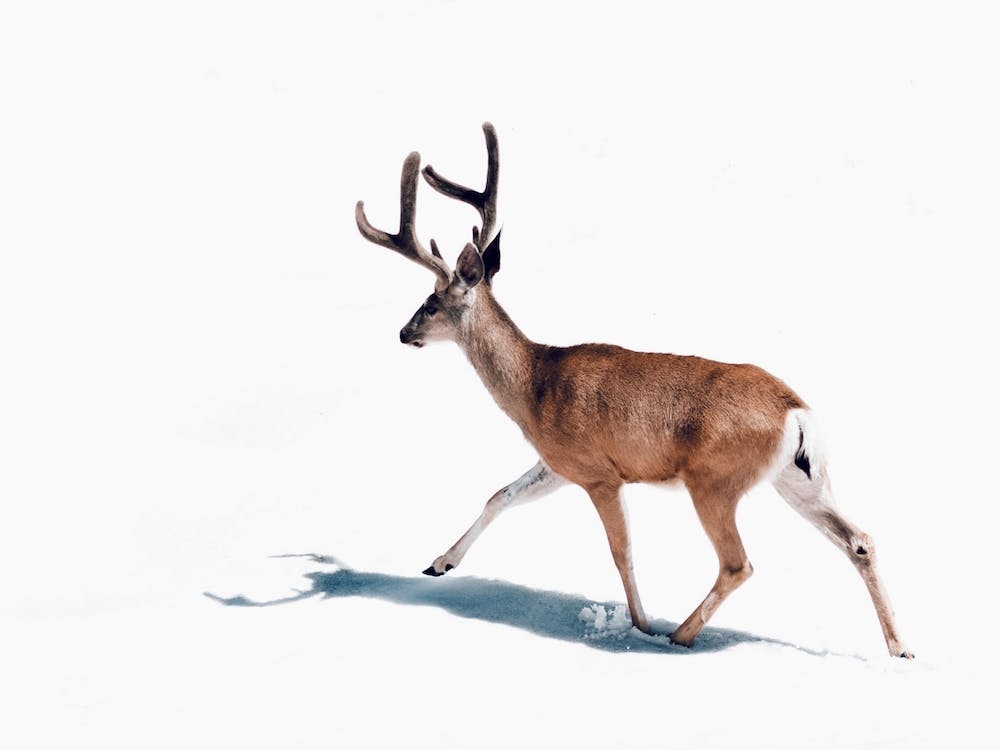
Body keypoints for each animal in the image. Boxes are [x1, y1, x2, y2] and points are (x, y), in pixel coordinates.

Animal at [354, 123, 913, 659]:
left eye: (430, 303)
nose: (403, 333)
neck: (534, 386)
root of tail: (796, 412)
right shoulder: (559, 463)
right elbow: (500, 495)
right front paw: (439, 563)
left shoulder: (599, 473)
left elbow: (621, 552)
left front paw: (640, 624)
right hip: (798, 477)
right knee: (859, 540)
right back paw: (900, 648)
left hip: (715, 480)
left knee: (738, 563)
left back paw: (677, 635)